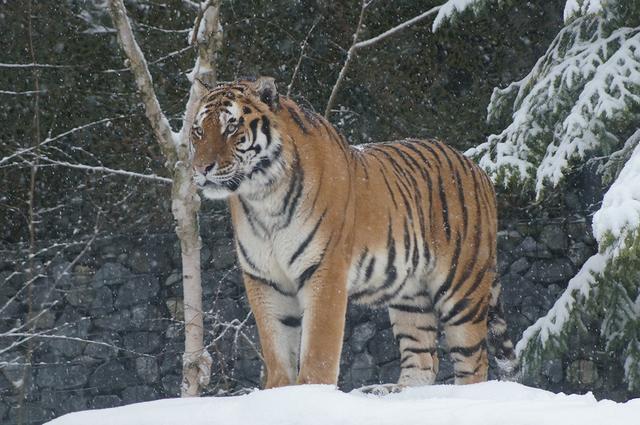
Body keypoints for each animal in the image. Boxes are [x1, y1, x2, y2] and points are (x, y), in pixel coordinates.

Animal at [189, 76, 517, 391]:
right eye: (198, 131)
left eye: (231, 127)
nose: (201, 168)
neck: (263, 196)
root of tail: (477, 167)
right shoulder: (265, 279)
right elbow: (276, 348)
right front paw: (279, 393)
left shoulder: (325, 269)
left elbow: (319, 348)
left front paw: (311, 394)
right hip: (411, 295)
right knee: (423, 358)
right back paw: (392, 392)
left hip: (462, 287)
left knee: (474, 362)